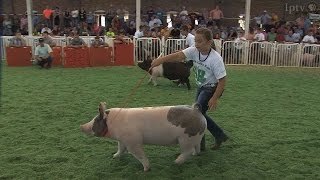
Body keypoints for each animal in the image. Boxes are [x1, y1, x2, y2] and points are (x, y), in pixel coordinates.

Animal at [80, 102, 208, 171]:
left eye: (95, 120)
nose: (81, 126)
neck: (113, 124)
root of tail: (196, 110)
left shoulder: (133, 142)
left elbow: (139, 154)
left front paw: (146, 169)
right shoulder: (122, 140)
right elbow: (120, 149)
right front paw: (114, 156)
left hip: (186, 138)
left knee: (187, 151)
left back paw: (175, 162)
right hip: (195, 137)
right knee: (196, 147)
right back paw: (195, 154)